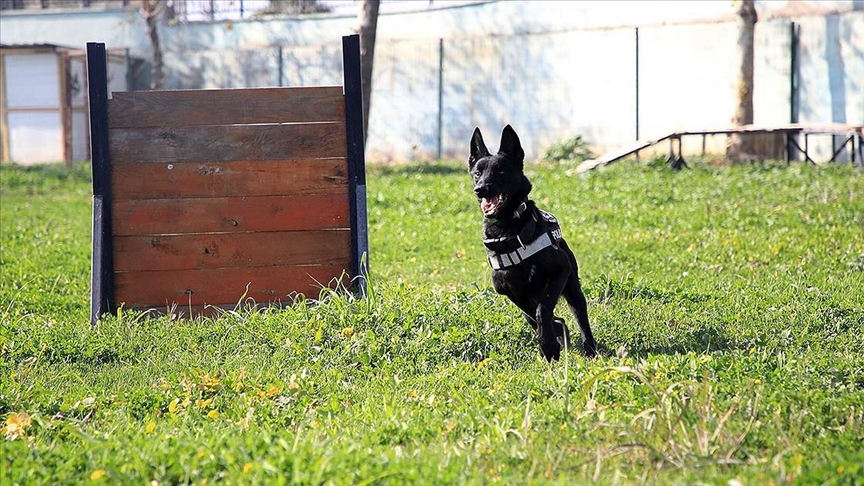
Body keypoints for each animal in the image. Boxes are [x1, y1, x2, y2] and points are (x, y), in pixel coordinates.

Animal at [470, 125, 596, 360]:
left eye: (501, 171)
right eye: (477, 173)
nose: (480, 188)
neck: (508, 228)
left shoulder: (560, 271)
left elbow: (542, 309)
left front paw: (548, 344)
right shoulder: (508, 289)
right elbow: (531, 314)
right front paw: (555, 332)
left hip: (572, 286)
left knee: (580, 314)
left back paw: (590, 348)